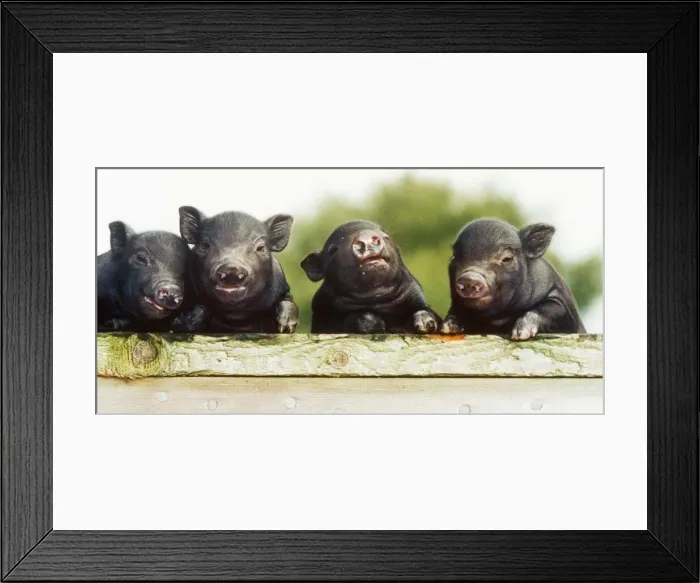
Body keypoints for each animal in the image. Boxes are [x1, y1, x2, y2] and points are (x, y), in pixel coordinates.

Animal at [301, 220, 441, 334]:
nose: (366, 237)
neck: (377, 302)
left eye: (387, 237)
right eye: (333, 250)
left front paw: (425, 323)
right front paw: (375, 323)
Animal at [441, 218, 586, 340]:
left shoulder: (563, 304)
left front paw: (519, 335)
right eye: (454, 257)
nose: (469, 277)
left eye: (507, 258)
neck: (498, 319)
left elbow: (549, 308)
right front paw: (447, 328)